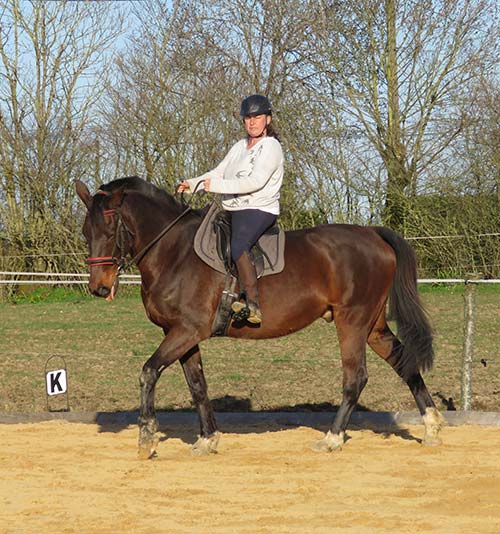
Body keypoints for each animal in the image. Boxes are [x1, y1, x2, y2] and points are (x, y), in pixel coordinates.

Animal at [74, 177, 442, 460]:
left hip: (351, 321)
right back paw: (432, 426)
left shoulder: (186, 331)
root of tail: (372, 233)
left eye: (110, 227)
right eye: (85, 231)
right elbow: (198, 386)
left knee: (356, 377)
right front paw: (207, 440)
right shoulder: (182, 334)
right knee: (404, 363)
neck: (174, 252)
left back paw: (332, 438)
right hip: (372, 326)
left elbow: (149, 372)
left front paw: (147, 439)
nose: (98, 287)